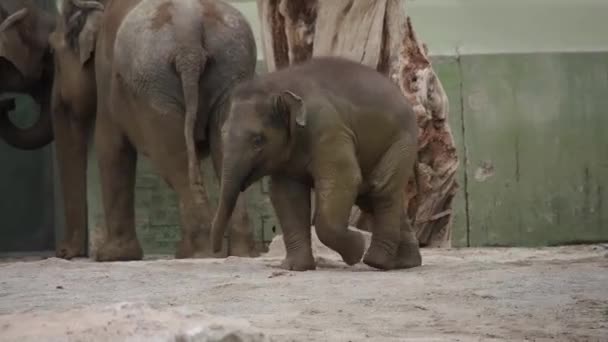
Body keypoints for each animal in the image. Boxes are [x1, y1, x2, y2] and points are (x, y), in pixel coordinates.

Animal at [213, 57, 422, 272]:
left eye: (257, 140)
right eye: (223, 133)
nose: (216, 250)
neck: (278, 85)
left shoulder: (328, 128)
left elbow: (344, 178)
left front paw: (356, 250)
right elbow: (286, 194)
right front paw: (295, 267)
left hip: (401, 142)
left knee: (381, 190)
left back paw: (376, 262)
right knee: (370, 197)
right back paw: (405, 263)